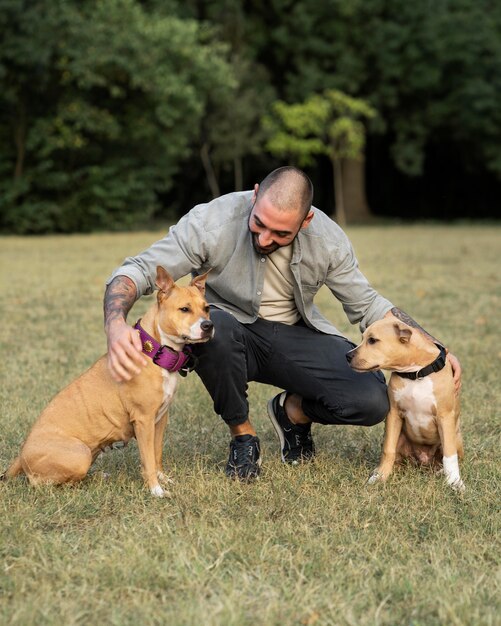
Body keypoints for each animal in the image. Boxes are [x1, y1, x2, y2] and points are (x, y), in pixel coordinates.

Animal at [2, 266, 213, 494]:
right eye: (184, 309)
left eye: (207, 308)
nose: (208, 325)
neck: (155, 351)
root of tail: (21, 455)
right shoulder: (144, 420)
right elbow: (148, 459)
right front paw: (155, 490)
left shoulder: (160, 419)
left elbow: (156, 454)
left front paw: (162, 479)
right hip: (80, 454)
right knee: (43, 482)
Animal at [346, 320, 462, 490]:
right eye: (363, 338)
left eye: (372, 340)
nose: (347, 356)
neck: (415, 374)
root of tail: (423, 462)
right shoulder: (393, 413)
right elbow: (388, 450)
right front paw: (380, 476)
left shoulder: (445, 416)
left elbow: (449, 454)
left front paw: (455, 482)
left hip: (456, 436)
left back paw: (441, 472)